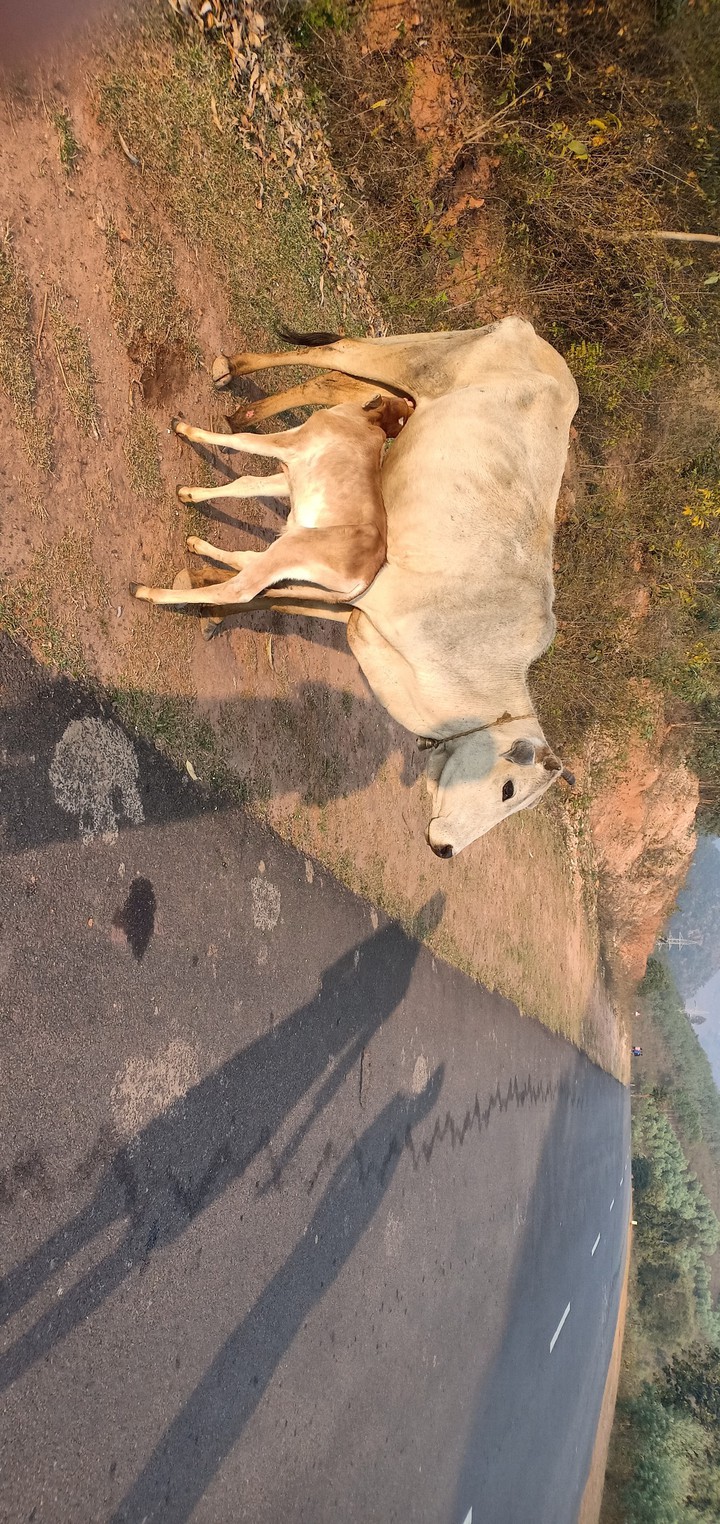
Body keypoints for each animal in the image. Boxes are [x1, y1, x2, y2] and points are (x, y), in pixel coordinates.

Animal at [132, 317, 578, 857]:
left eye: (512, 808)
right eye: (507, 789)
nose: (445, 850)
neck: (477, 663)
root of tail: (532, 335)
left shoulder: (354, 607)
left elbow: (272, 593)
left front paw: (207, 585)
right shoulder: (370, 601)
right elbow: (272, 586)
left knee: (336, 383)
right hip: (414, 360)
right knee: (336, 354)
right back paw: (234, 377)